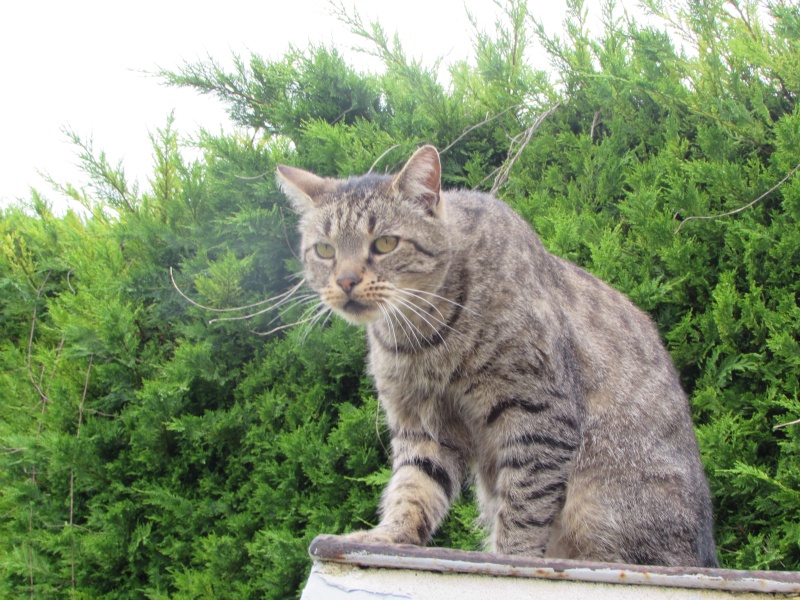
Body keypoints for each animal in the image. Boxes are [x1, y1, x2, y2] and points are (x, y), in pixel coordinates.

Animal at [276, 145, 720, 568]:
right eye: (325, 250)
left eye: (385, 243)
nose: (345, 281)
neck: (423, 337)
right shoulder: (424, 426)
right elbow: (412, 488)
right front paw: (387, 537)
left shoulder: (539, 414)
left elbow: (525, 506)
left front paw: (512, 555)